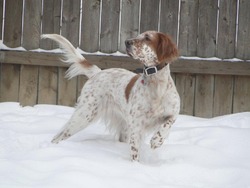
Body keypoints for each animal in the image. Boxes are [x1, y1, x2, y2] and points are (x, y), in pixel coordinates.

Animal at [41, 31, 180, 162]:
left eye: (147, 38)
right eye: (138, 35)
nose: (127, 42)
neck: (157, 86)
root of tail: (98, 72)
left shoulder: (172, 113)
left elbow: (167, 124)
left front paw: (157, 141)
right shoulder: (136, 126)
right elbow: (135, 152)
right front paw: (136, 166)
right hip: (85, 115)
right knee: (59, 136)